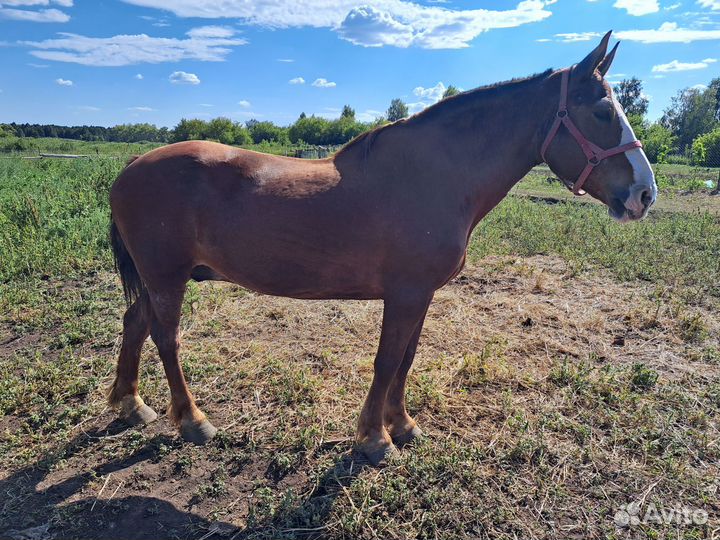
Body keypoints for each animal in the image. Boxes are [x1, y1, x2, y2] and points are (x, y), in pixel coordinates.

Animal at [107, 31, 656, 465]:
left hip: (161, 279)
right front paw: (374, 439)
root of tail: (134, 163)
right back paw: (192, 420)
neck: (435, 177)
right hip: (167, 277)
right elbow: (388, 359)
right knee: (166, 338)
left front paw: (402, 425)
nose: (644, 194)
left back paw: (131, 404)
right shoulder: (406, 293)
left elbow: (406, 358)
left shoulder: (421, 295)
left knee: (135, 323)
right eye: (602, 112)